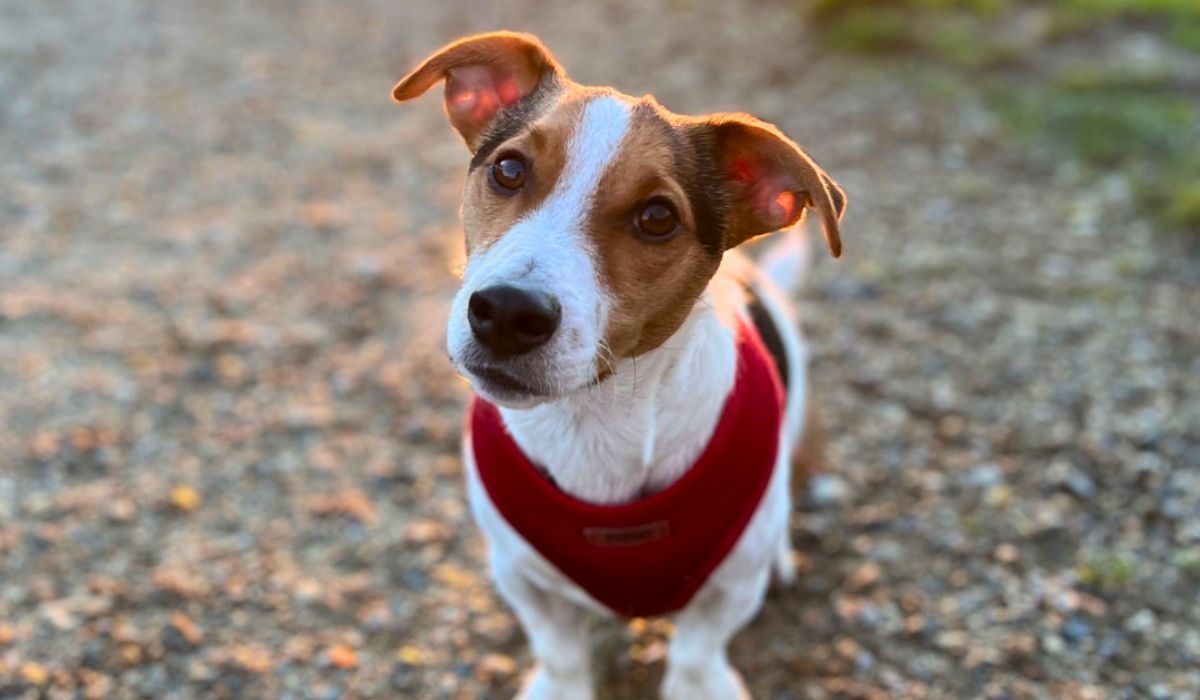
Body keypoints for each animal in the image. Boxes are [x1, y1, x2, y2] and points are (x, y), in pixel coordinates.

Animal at [393, 31, 844, 700]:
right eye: (508, 169)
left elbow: (695, 652)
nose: (507, 312)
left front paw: (696, 683)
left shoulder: (728, 591)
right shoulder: (521, 576)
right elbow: (560, 652)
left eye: (657, 218)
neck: (596, 418)